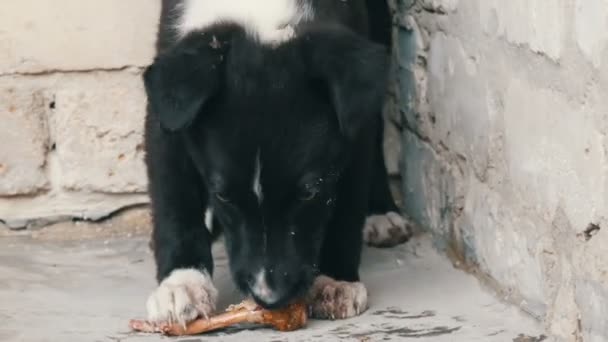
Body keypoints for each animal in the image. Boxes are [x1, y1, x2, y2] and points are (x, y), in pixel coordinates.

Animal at [141, 0, 414, 326]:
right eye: (223, 196)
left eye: (309, 193)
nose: (269, 298)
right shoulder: (168, 107)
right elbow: (174, 198)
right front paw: (182, 284)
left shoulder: (351, 123)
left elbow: (347, 204)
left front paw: (335, 280)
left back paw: (381, 212)